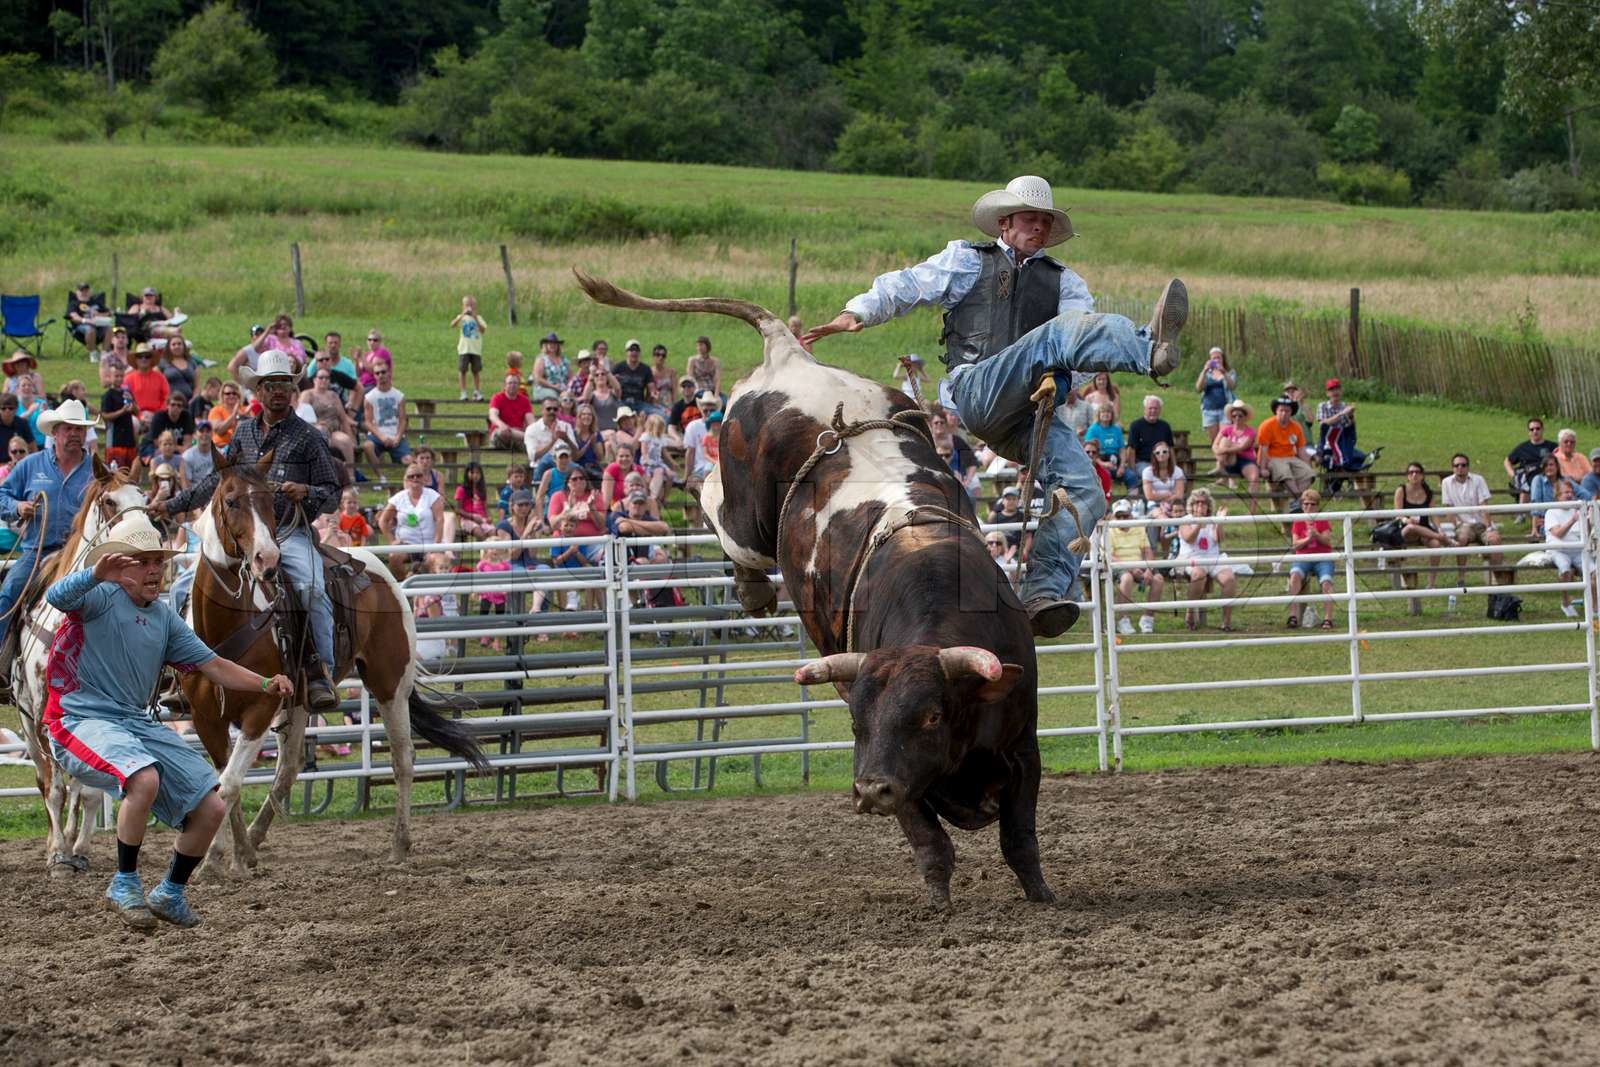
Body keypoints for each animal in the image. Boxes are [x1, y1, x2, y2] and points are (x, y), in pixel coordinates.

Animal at [576, 270, 1054, 909]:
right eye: (857, 722)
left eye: (930, 716)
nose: (869, 791)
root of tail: (789, 355)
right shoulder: (896, 778)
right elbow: (929, 839)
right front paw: (938, 900)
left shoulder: (1024, 748)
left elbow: (1019, 834)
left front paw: (1041, 895)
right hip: (748, 512)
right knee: (711, 498)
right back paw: (750, 587)